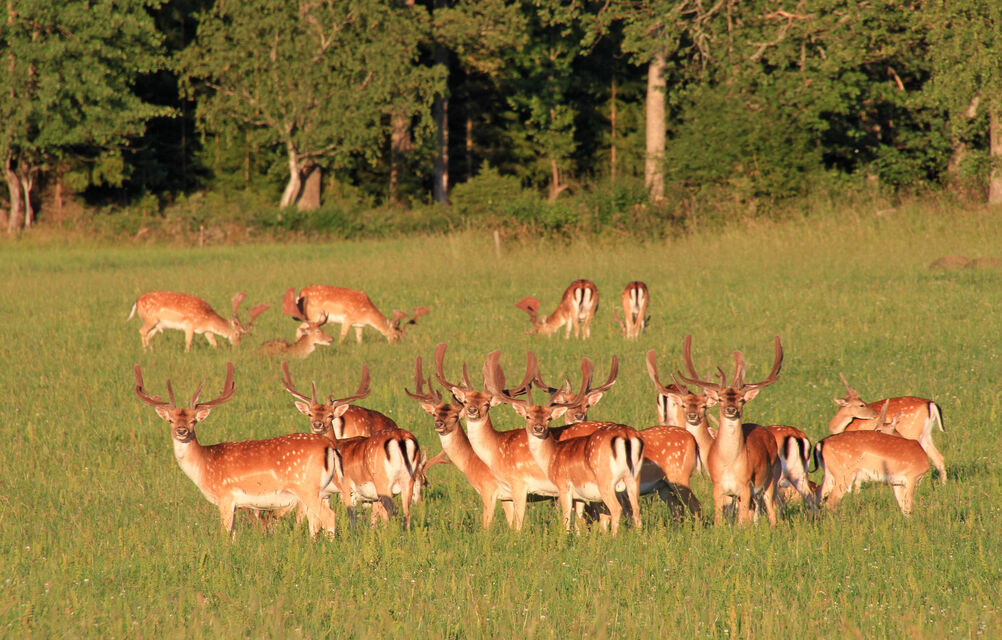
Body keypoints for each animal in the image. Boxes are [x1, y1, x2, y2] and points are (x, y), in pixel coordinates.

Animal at [128, 291, 269, 351]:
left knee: (148, 335)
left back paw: (151, 351)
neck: (206, 318)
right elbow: (188, 342)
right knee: (142, 331)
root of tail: (137, 301)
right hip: (150, 319)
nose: (237, 346)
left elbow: (214, 343)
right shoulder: (189, 325)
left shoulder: (206, 331)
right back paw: (146, 352)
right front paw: (186, 354)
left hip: (157, 325)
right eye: (237, 334)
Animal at [133, 362, 340, 538]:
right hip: (320, 491)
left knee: (329, 516)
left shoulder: (225, 495)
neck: (204, 465)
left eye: (194, 421)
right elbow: (233, 534)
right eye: (171, 420)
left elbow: (225, 533)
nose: (181, 431)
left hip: (306, 487)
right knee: (316, 521)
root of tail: (329, 445)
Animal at [280, 362, 422, 528]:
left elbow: (350, 521)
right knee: (406, 513)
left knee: (392, 510)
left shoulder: (347, 488)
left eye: (330, 415)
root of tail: (400, 438)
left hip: (383, 481)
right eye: (310, 414)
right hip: (409, 479)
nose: (317, 424)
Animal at [284, 286, 429, 344]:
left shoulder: (359, 325)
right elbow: (342, 336)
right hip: (312, 316)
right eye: (395, 336)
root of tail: (301, 293)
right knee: (299, 329)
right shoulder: (348, 318)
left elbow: (359, 339)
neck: (366, 313)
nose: (395, 346)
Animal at [675, 335, 784, 525]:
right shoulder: (718, 487)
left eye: (741, 400)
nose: (731, 409)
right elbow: (720, 520)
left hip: (771, 479)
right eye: (720, 399)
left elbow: (743, 523)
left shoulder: (745, 486)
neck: (730, 465)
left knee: (771, 512)